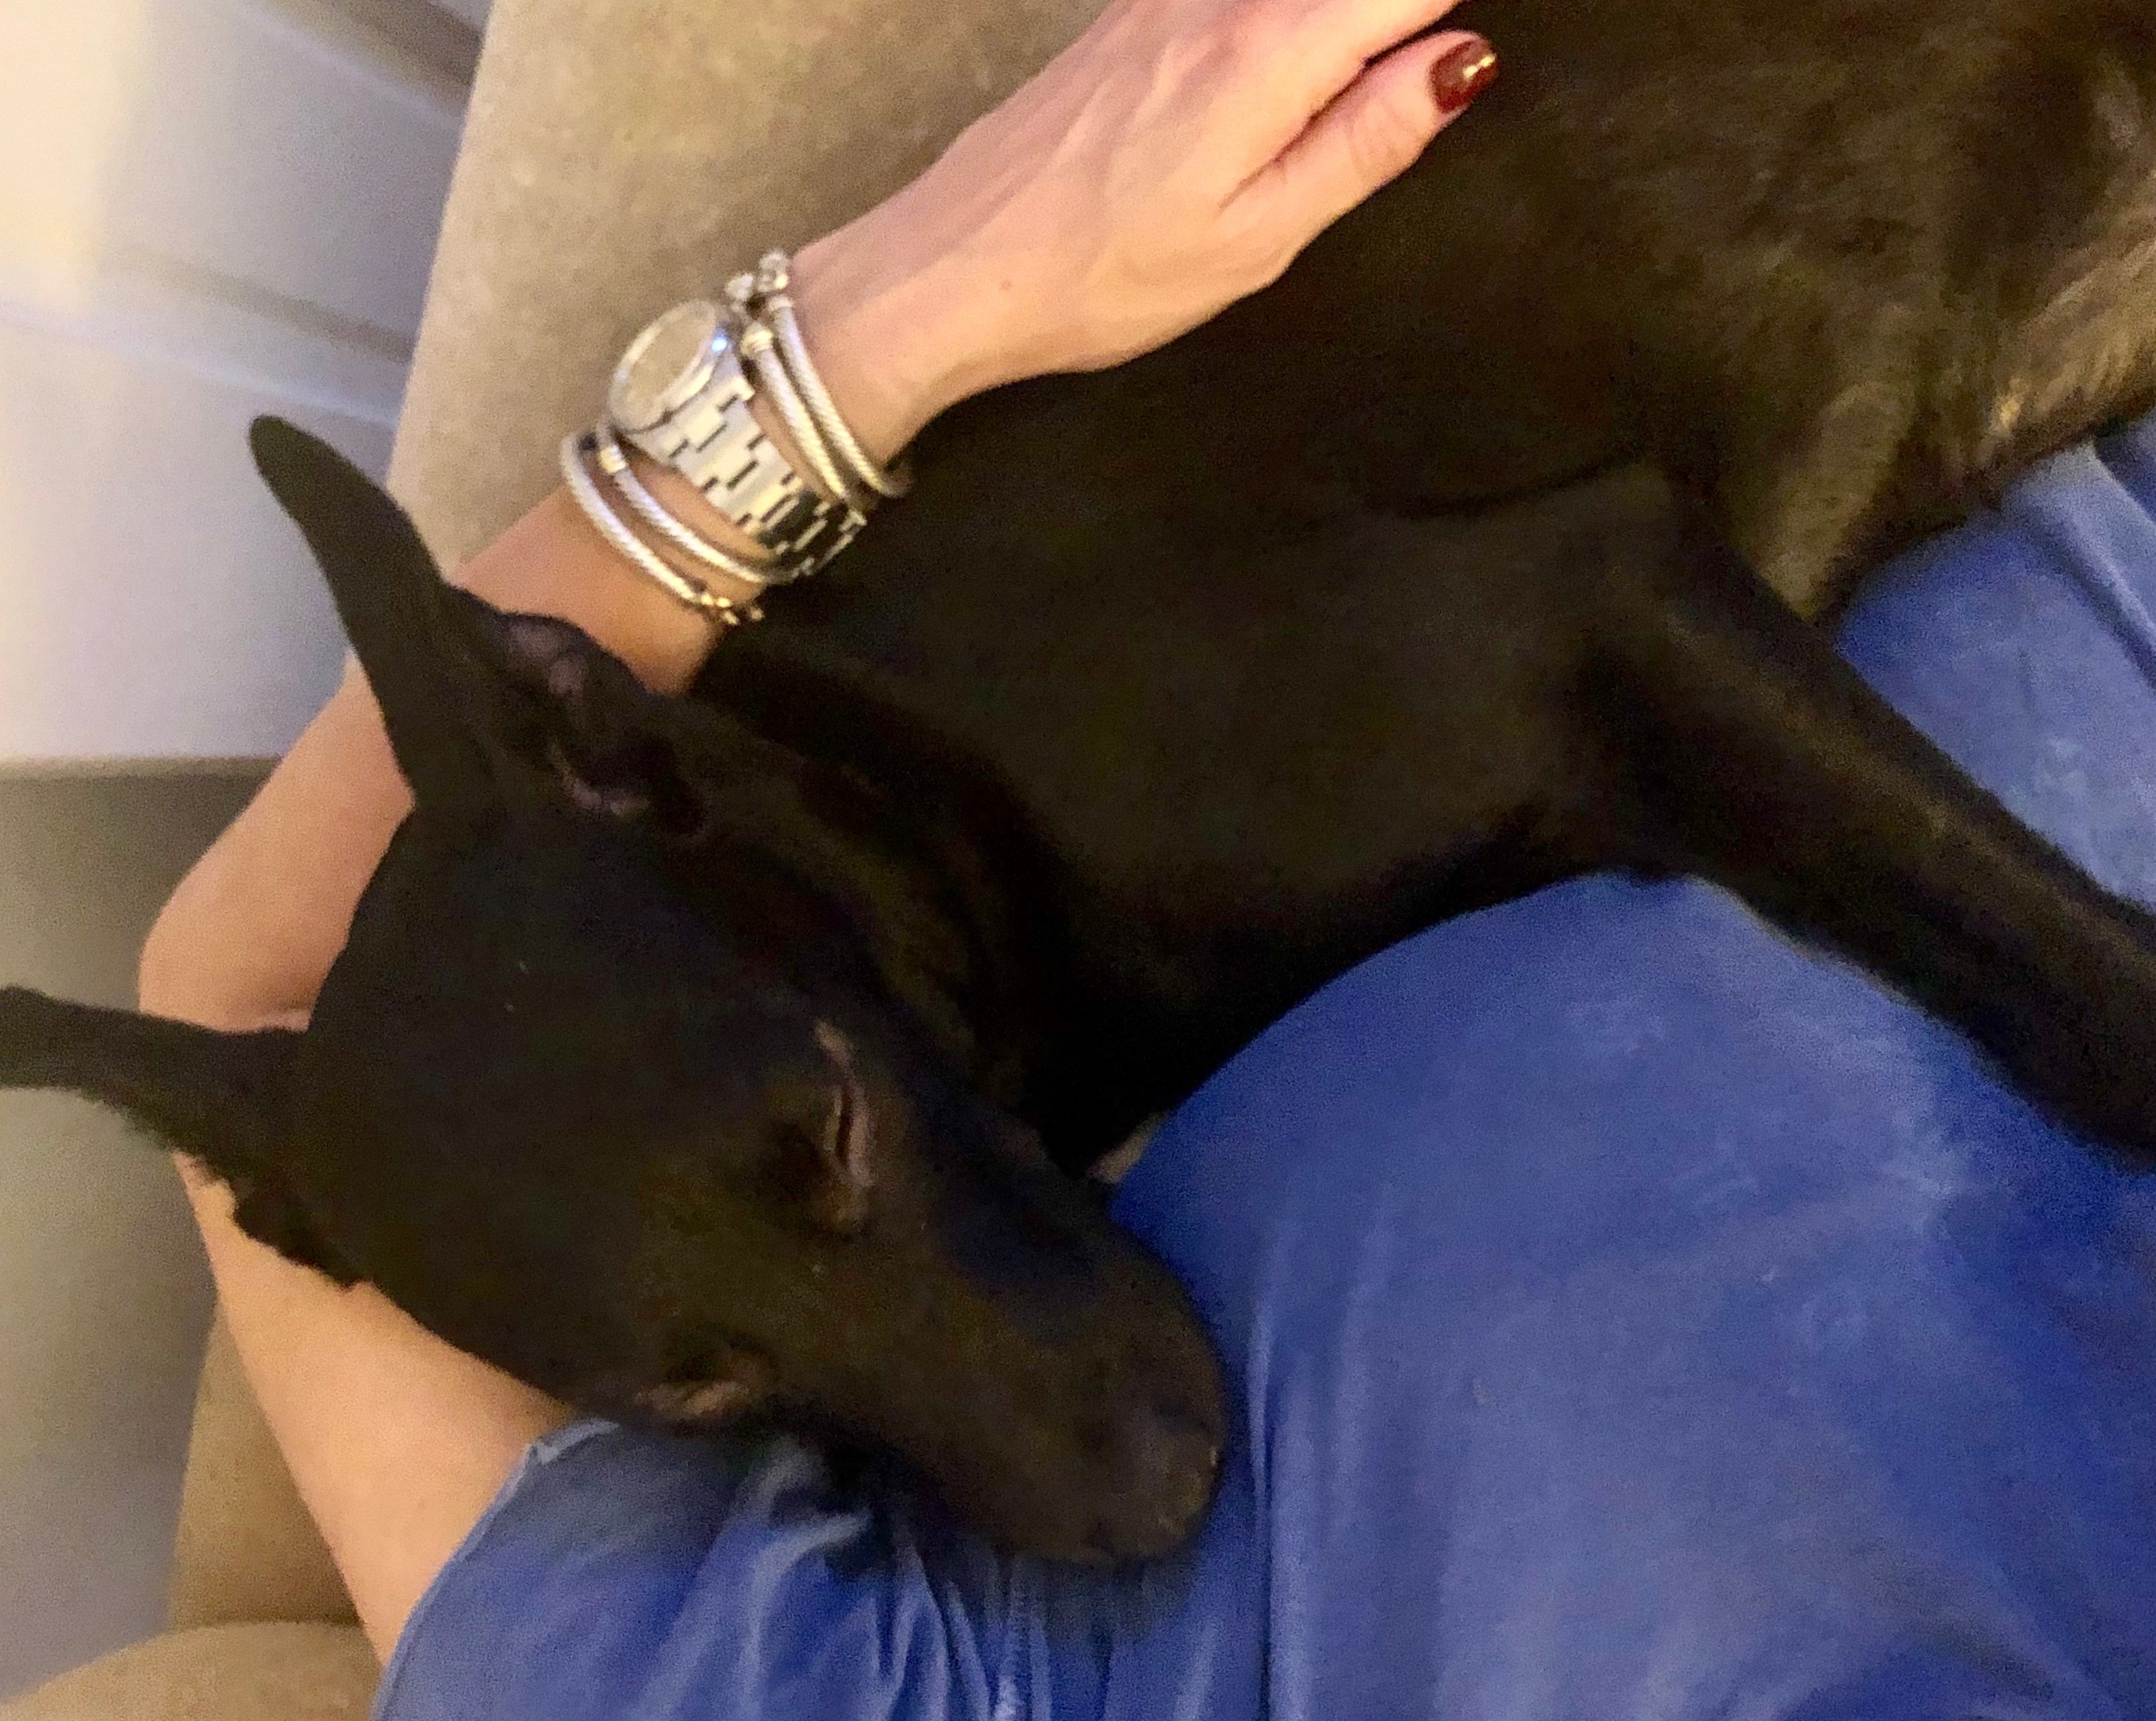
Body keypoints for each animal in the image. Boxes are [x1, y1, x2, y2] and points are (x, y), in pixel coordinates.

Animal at [4, 0, 2156, 1561]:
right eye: (685, 1395)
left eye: (838, 1118)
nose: (1159, 1507)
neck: (931, 794)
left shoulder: (1598, 593)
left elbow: (2075, 982)